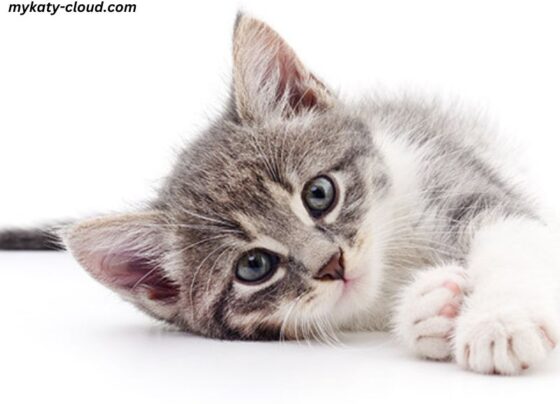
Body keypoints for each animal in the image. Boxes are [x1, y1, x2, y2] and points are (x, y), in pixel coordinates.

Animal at [1, 15, 560, 376]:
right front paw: (429, 308)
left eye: (319, 194)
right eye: (253, 266)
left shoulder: (455, 174)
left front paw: (499, 320)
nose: (332, 263)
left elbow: (512, 238)